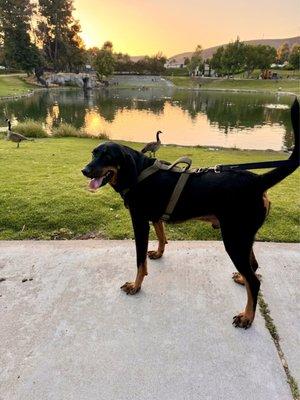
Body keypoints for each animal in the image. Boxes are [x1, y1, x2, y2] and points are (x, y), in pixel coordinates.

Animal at [82, 100, 300, 328]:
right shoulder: (155, 218)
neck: (138, 171)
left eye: (107, 156)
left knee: (255, 281)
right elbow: (162, 237)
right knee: (253, 268)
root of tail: (258, 181)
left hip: (234, 238)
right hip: (244, 236)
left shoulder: (139, 222)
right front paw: (158, 253)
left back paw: (247, 316)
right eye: (93, 154)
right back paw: (242, 280)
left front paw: (136, 285)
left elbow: (139, 261)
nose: (84, 170)